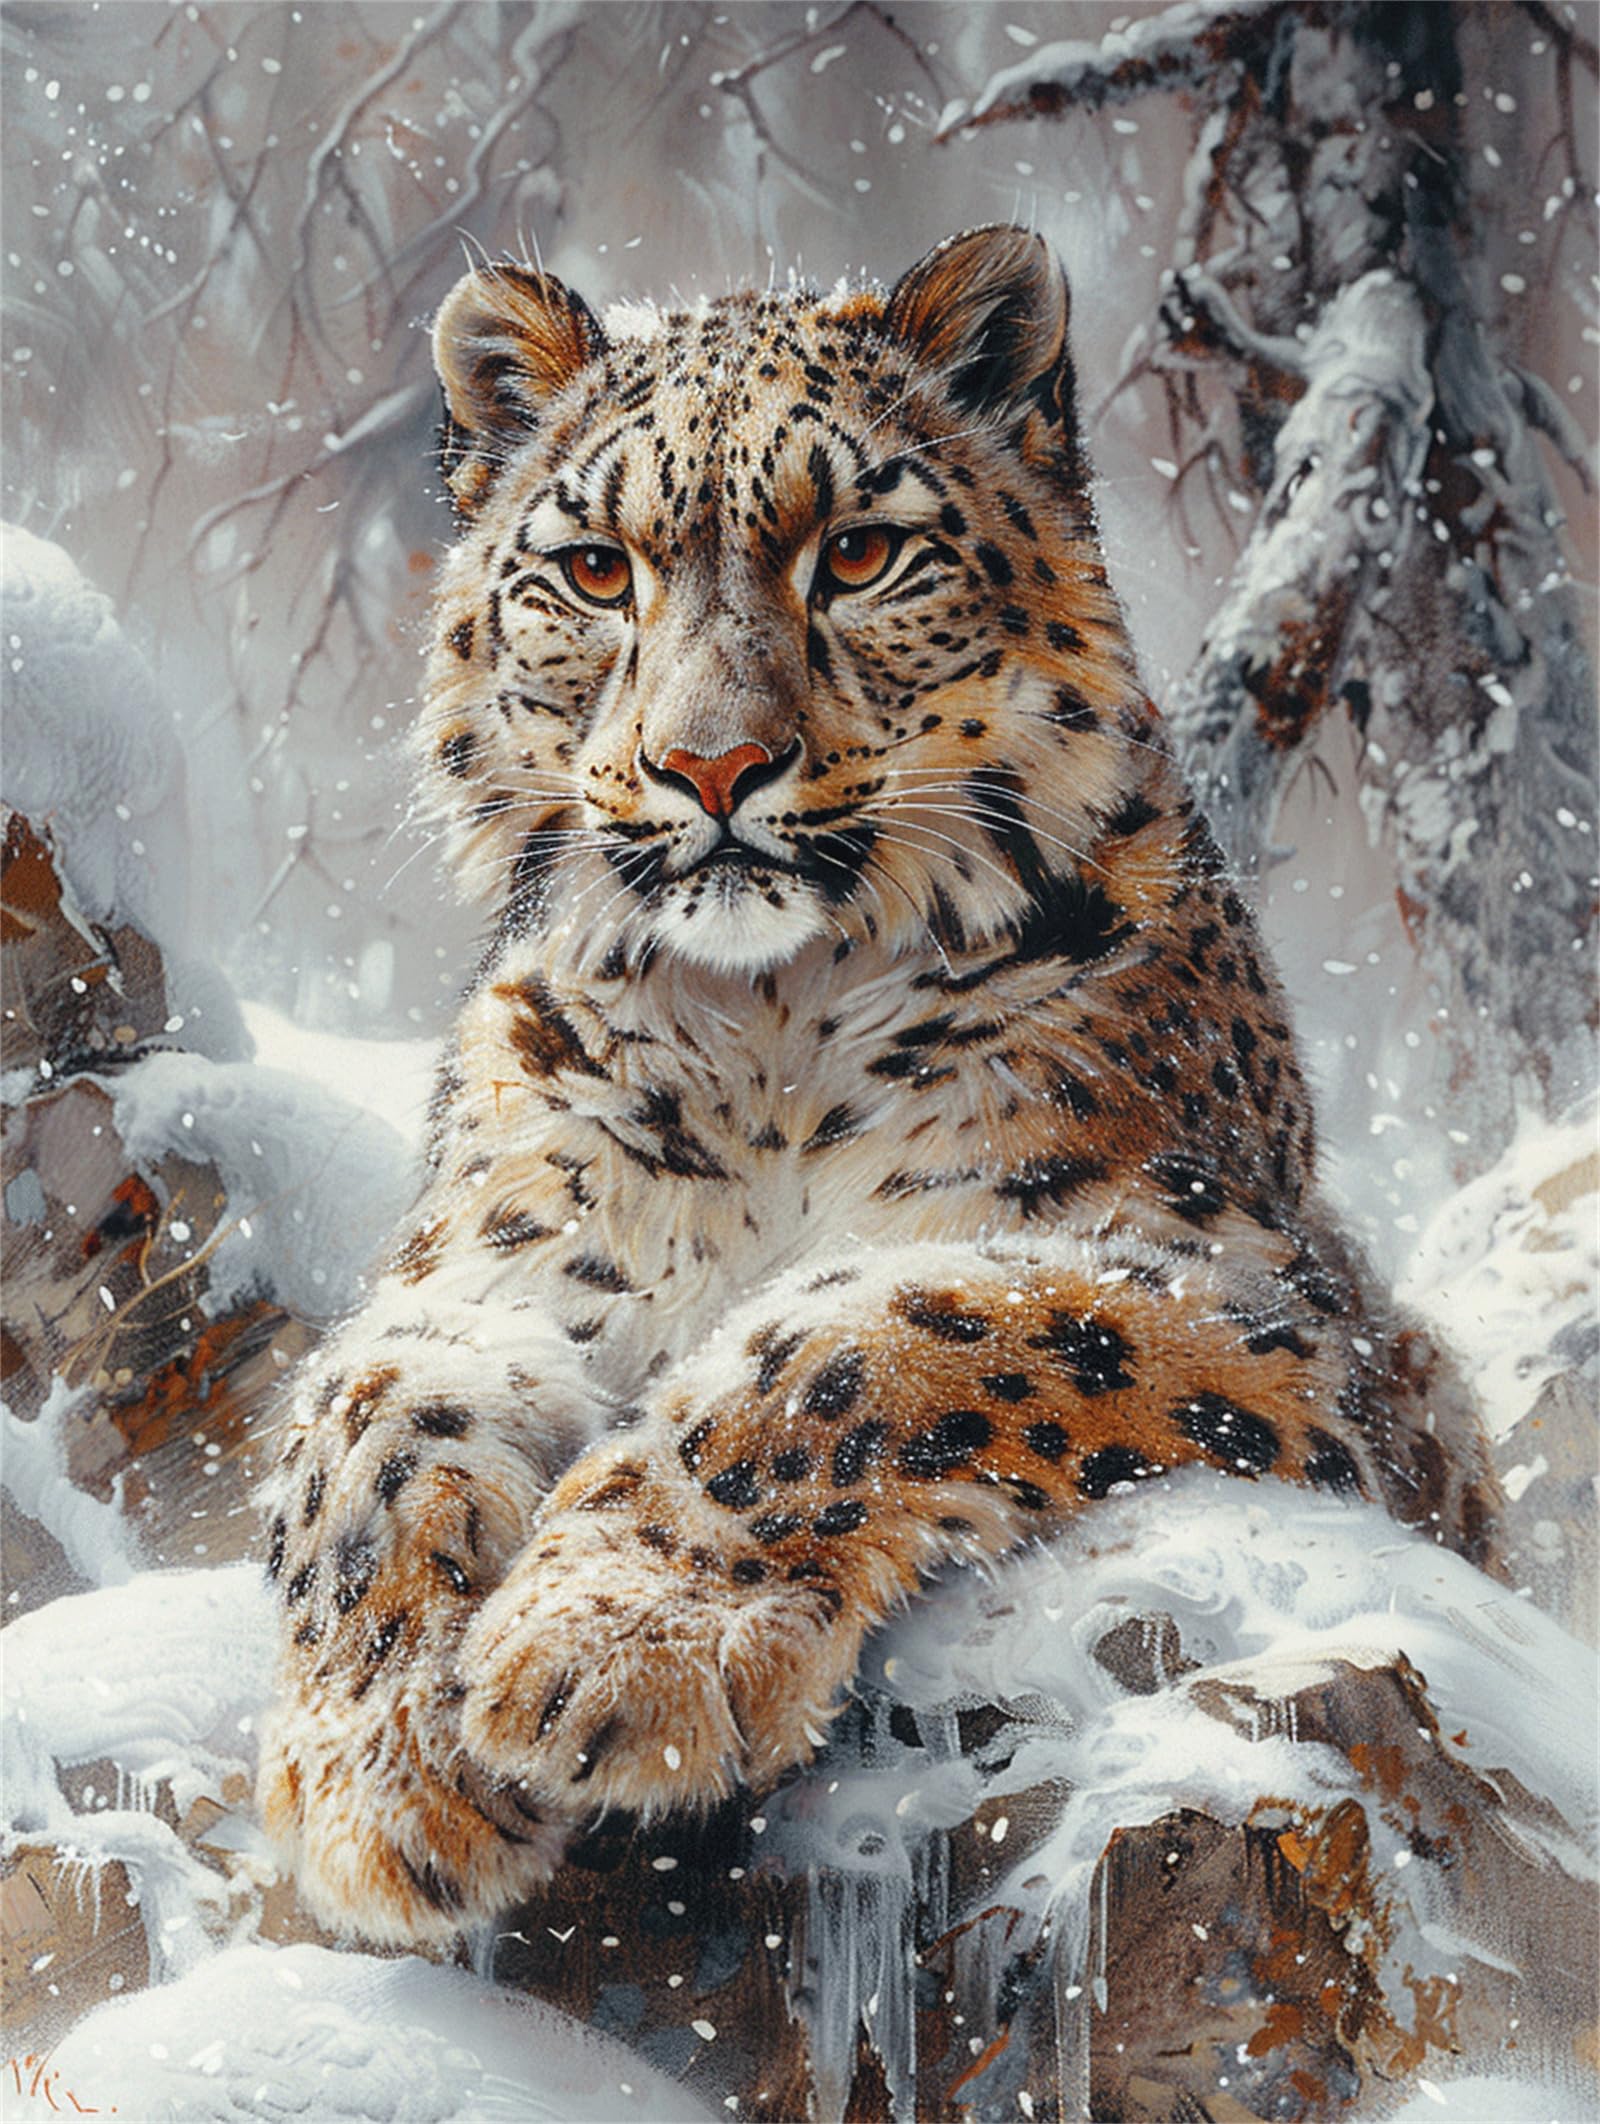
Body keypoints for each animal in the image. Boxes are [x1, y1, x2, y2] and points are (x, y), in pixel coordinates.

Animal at [256, 225, 1500, 1946]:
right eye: (596, 570)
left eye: (854, 554)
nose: (711, 769)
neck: (766, 1028)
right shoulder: (502, 1261)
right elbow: (366, 1415)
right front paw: (381, 1777)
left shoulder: (1231, 1288)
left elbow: (869, 1334)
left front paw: (616, 1645)